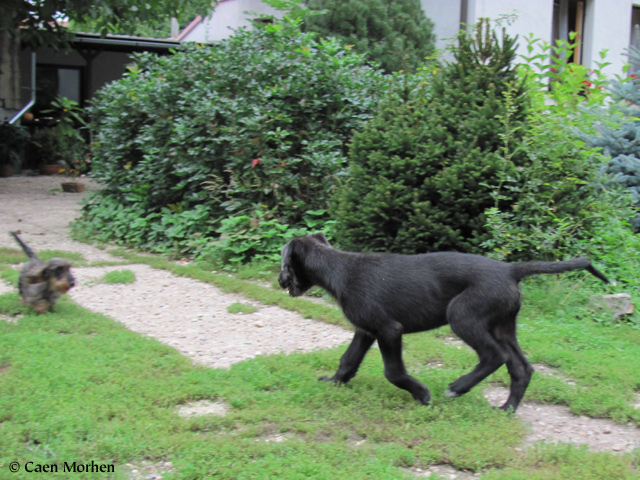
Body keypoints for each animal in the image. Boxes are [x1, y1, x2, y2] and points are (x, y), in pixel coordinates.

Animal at [280, 233, 616, 412]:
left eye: (285, 262)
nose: (281, 281)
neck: (338, 268)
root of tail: (510, 270)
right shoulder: (366, 330)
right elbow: (348, 360)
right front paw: (334, 382)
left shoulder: (389, 330)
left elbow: (393, 371)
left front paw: (421, 394)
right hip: (502, 325)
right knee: (521, 368)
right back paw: (506, 410)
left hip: (463, 316)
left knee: (494, 356)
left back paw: (459, 387)